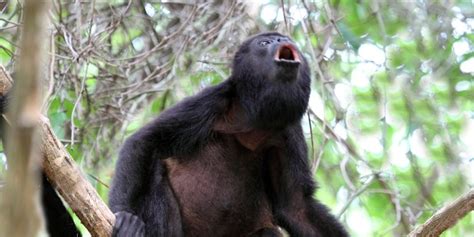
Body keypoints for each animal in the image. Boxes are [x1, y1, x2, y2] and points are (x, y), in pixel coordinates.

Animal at [110, 32, 348, 237]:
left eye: (284, 38)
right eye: (264, 43)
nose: (281, 40)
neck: (257, 121)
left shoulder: (288, 132)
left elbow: (296, 206)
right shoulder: (215, 100)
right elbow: (144, 141)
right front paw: (123, 214)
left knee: (268, 231)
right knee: (156, 171)